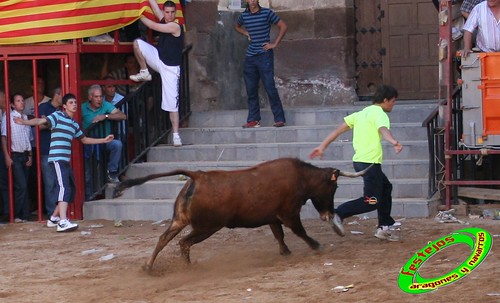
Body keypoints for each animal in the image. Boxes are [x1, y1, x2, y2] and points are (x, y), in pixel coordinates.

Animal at [114, 158, 372, 272]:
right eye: (333, 187)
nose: (328, 214)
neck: (301, 177)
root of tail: (198, 175)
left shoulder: (273, 217)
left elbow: (279, 235)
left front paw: (285, 252)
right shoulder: (289, 213)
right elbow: (299, 231)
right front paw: (317, 245)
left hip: (181, 219)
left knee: (164, 238)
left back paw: (148, 266)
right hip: (207, 227)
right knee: (183, 242)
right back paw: (187, 267)